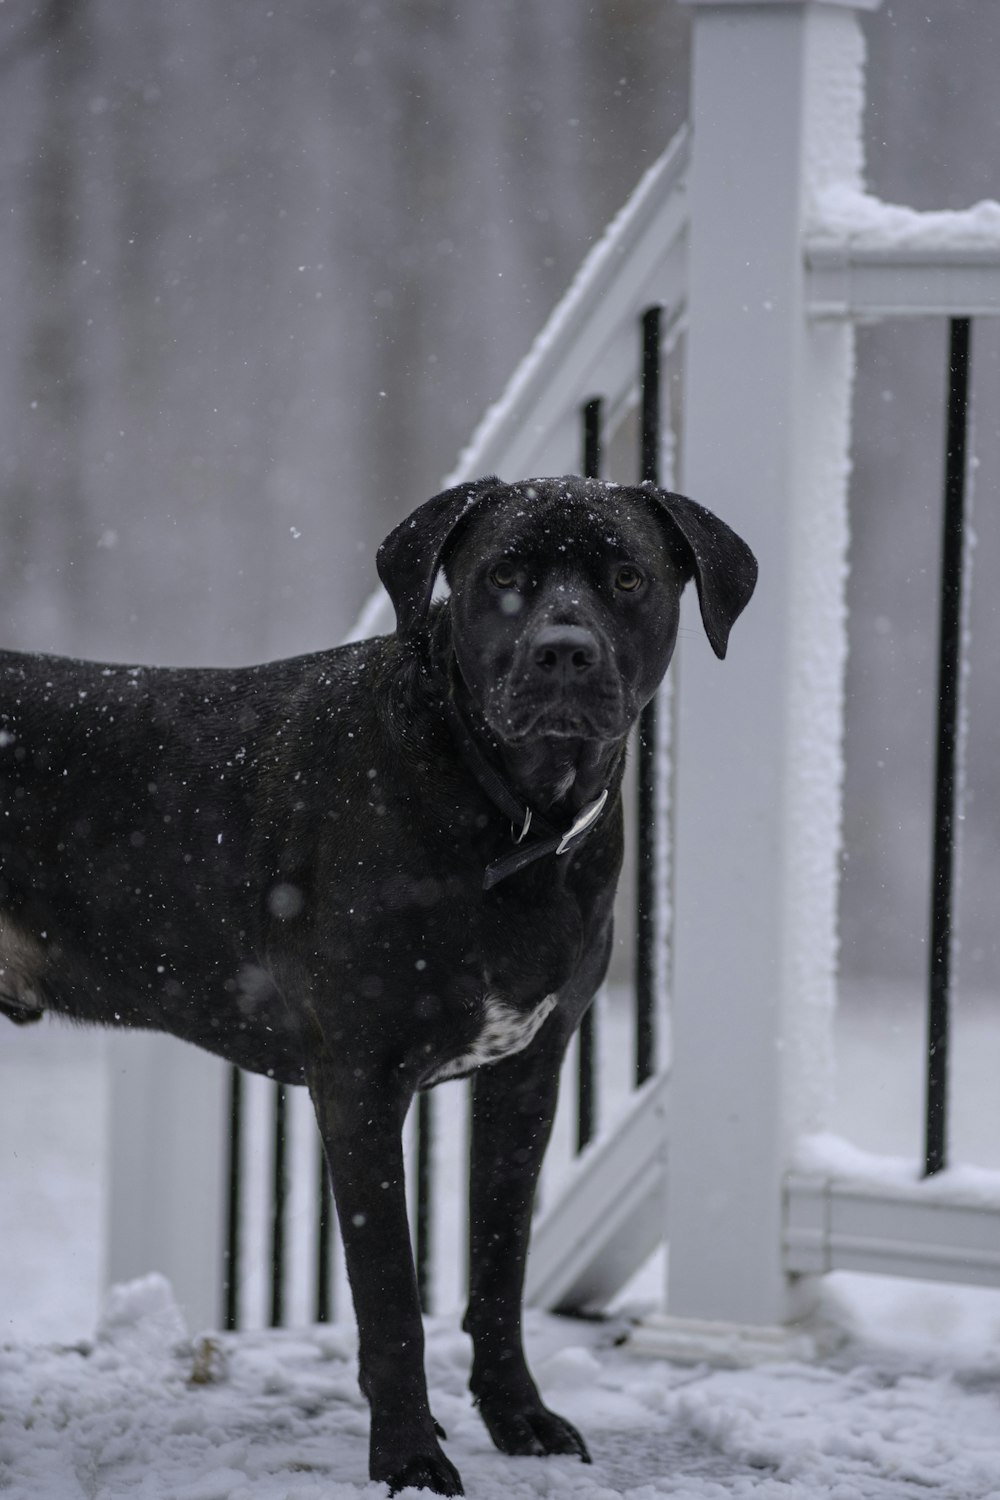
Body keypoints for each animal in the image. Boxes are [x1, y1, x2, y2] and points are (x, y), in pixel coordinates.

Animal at [0, 474, 749, 1494]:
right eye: (503, 574)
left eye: (627, 577)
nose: (563, 650)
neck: (510, 817)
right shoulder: (359, 1082)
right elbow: (390, 1293)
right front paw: (408, 1456)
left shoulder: (526, 1076)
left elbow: (499, 1269)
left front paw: (517, 1418)